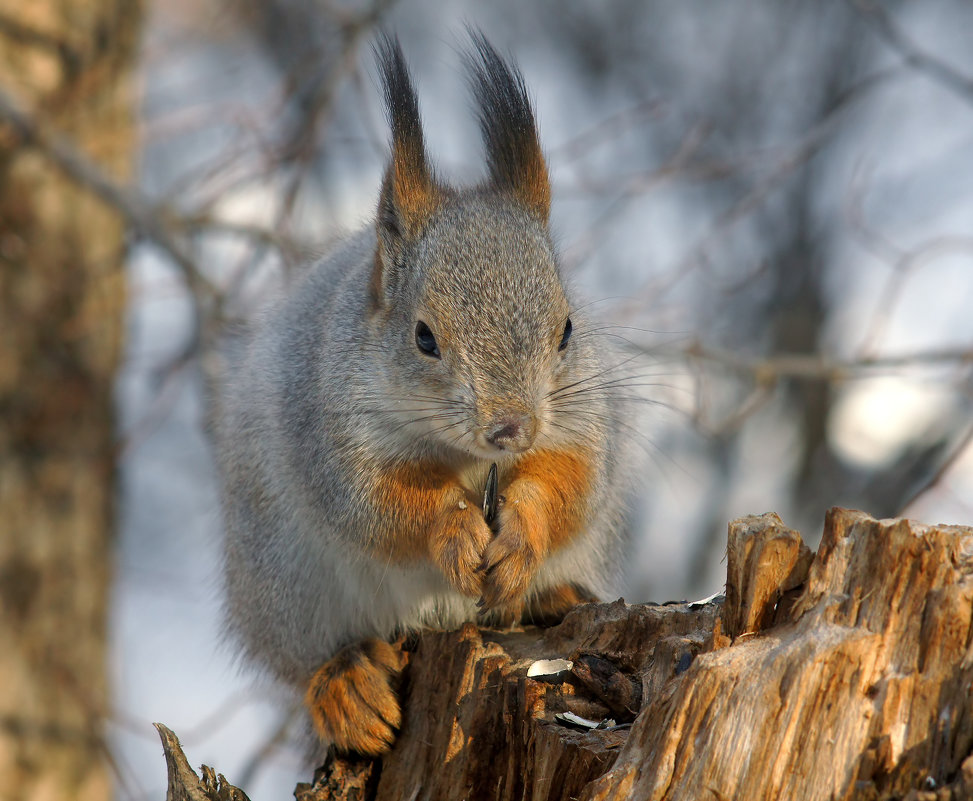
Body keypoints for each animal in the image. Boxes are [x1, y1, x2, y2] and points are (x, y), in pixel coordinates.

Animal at [219, 32, 640, 756]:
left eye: (566, 330)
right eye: (423, 337)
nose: (510, 428)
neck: (468, 459)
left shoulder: (585, 425)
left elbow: (570, 481)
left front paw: (521, 536)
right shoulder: (331, 435)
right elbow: (380, 505)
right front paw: (451, 527)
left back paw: (549, 595)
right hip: (282, 579)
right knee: (308, 657)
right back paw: (347, 683)